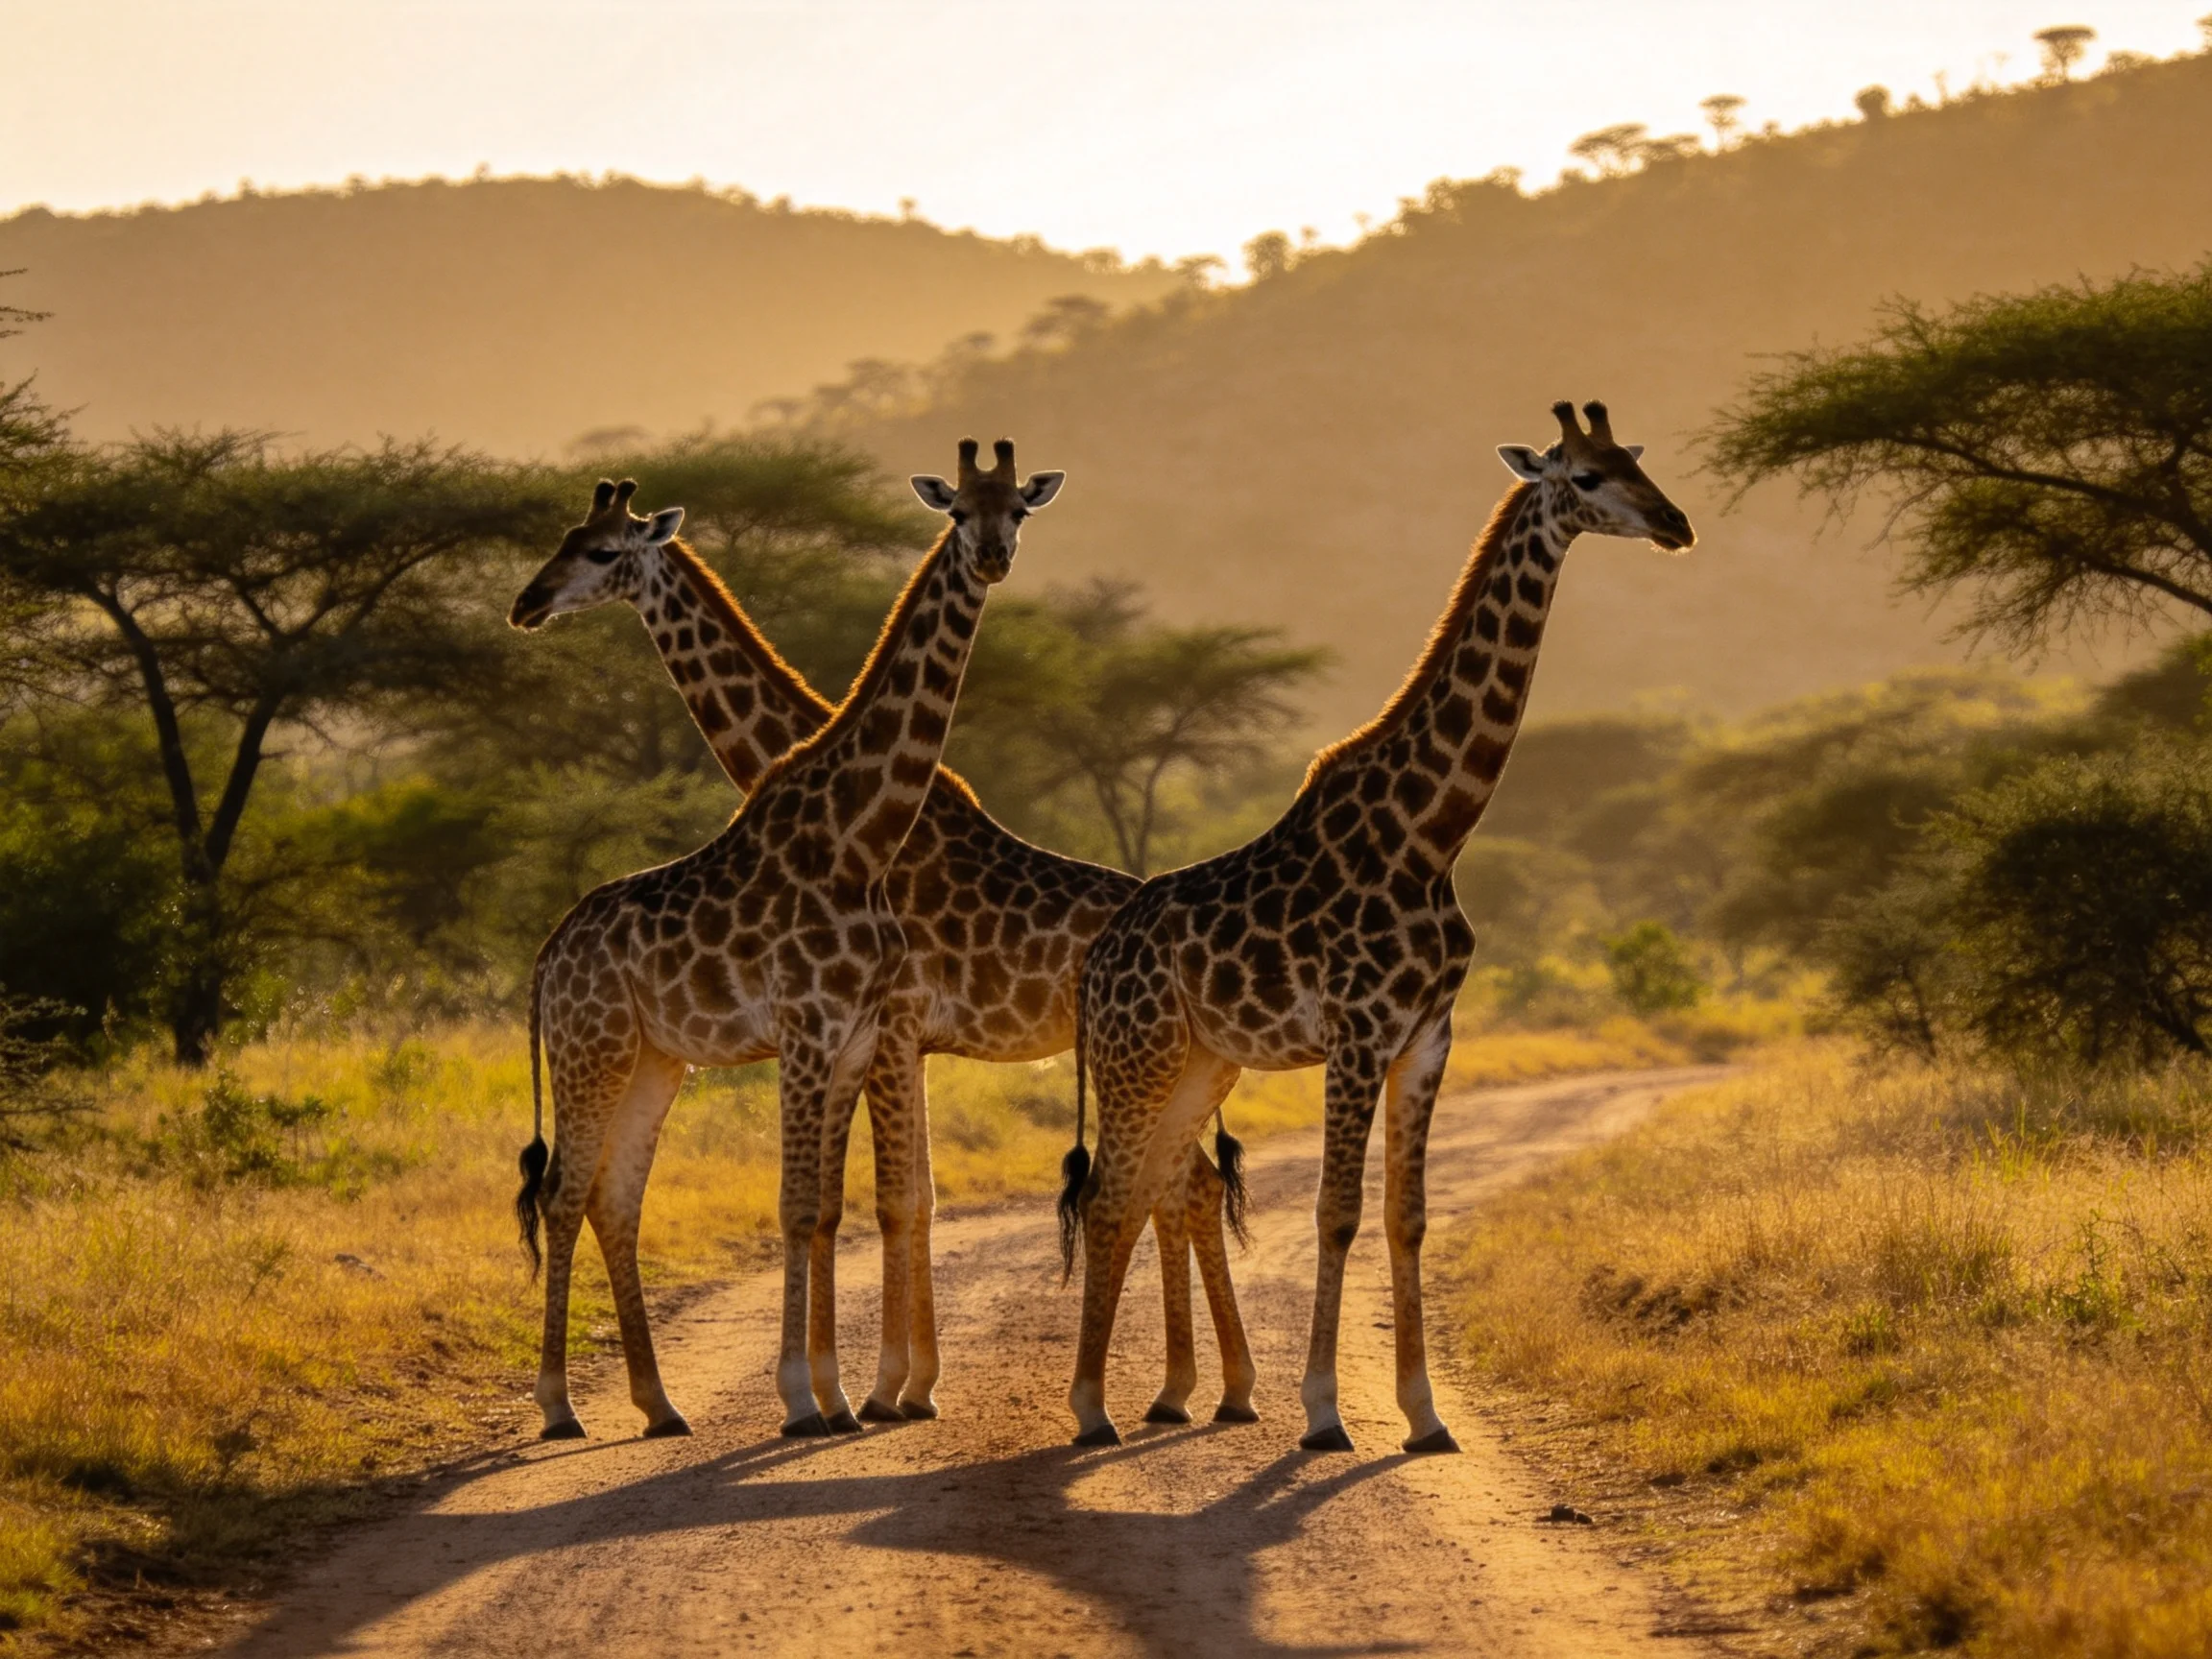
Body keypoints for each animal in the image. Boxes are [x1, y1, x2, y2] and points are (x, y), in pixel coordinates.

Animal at [507, 475, 1259, 1431]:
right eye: (564, 541)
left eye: (600, 553)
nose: (528, 603)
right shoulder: (893, 1037)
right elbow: (906, 1199)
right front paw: (894, 1386)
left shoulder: (891, 1028)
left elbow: (897, 1201)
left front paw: (886, 1389)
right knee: (1183, 1185)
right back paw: (1196, 1389)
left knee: (1181, 1186)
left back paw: (1201, 1390)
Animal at [1059, 401, 1695, 1450]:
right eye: (1587, 478)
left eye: (1635, 463)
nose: (1677, 525)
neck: (1431, 834)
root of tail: (1097, 962)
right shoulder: (1357, 1034)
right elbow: (1336, 1211)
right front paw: (1323, 1414)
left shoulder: (1429, 1034)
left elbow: (1408, 1215)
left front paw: (1425, 1415)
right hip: (1135, 1055)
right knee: (1112, 1195)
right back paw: (1089, 1411)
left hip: (1201, 1063)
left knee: (1157, 1187)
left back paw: (1164, 1395)